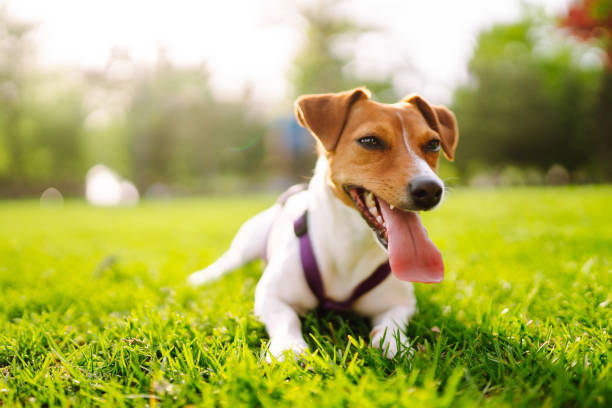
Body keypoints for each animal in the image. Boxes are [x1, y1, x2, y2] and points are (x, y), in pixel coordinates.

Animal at [189, 88, 456, 360]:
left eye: (433, 144)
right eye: (370, 141)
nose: (430, 189)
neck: (351, 246)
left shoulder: (400, 303)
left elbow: (392, 322)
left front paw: (394, 344)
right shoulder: (271, 295)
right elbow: (286, 318)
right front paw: (288, 347)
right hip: (246, 244)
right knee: (227, 262)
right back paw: (201, 278)